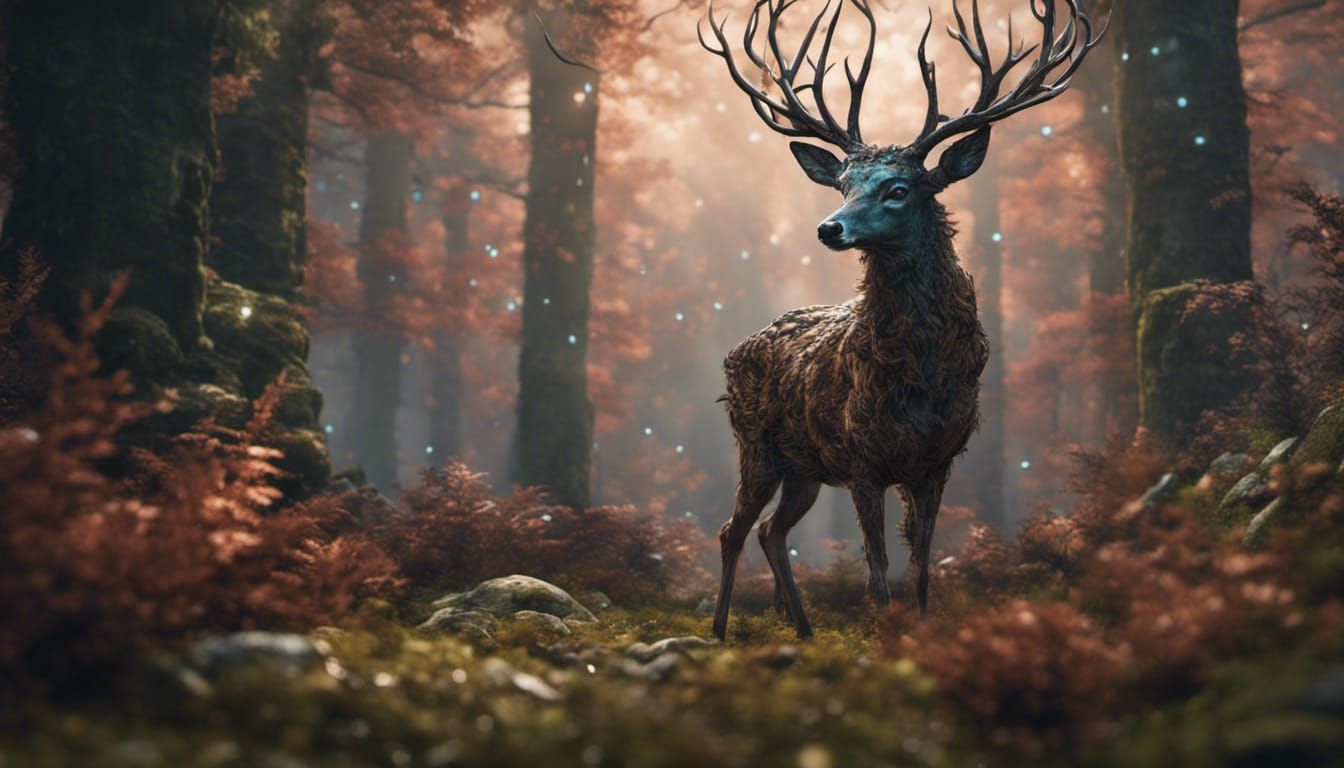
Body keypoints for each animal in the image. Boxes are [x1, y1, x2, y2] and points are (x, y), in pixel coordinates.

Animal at [700, 0, 1102, 639]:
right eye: (842, 184)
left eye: (898, 189)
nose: (828, 227)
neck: (918, 376)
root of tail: (738, 349)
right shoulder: (862, 458)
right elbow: (878, 570)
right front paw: (886, 638)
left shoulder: (936, 461)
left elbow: (922, 569)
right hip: (756, 445)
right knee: (732, 530)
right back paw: (717, 631)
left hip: (804, 467)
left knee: (770, 530)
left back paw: (804, 629)